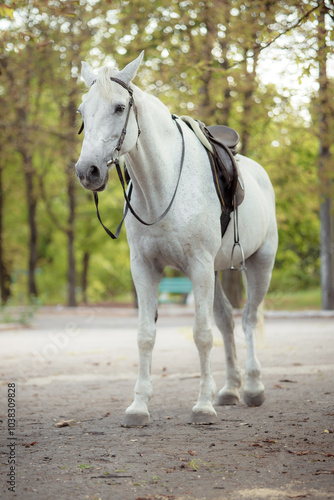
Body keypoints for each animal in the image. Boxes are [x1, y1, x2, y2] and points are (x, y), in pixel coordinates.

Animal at [76, 51, 280, 426]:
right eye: (82, 111)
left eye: (118, 108)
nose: (88, 172)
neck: (163, 183)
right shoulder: (145, 268)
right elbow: (145, 336)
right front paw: (139, 406)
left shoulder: (198, 266)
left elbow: (202, 335)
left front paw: (202, 406)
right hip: (216, 271)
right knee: (227, 321)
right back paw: (229, 389)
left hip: (261, 263)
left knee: (247, 318)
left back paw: (252, 388)